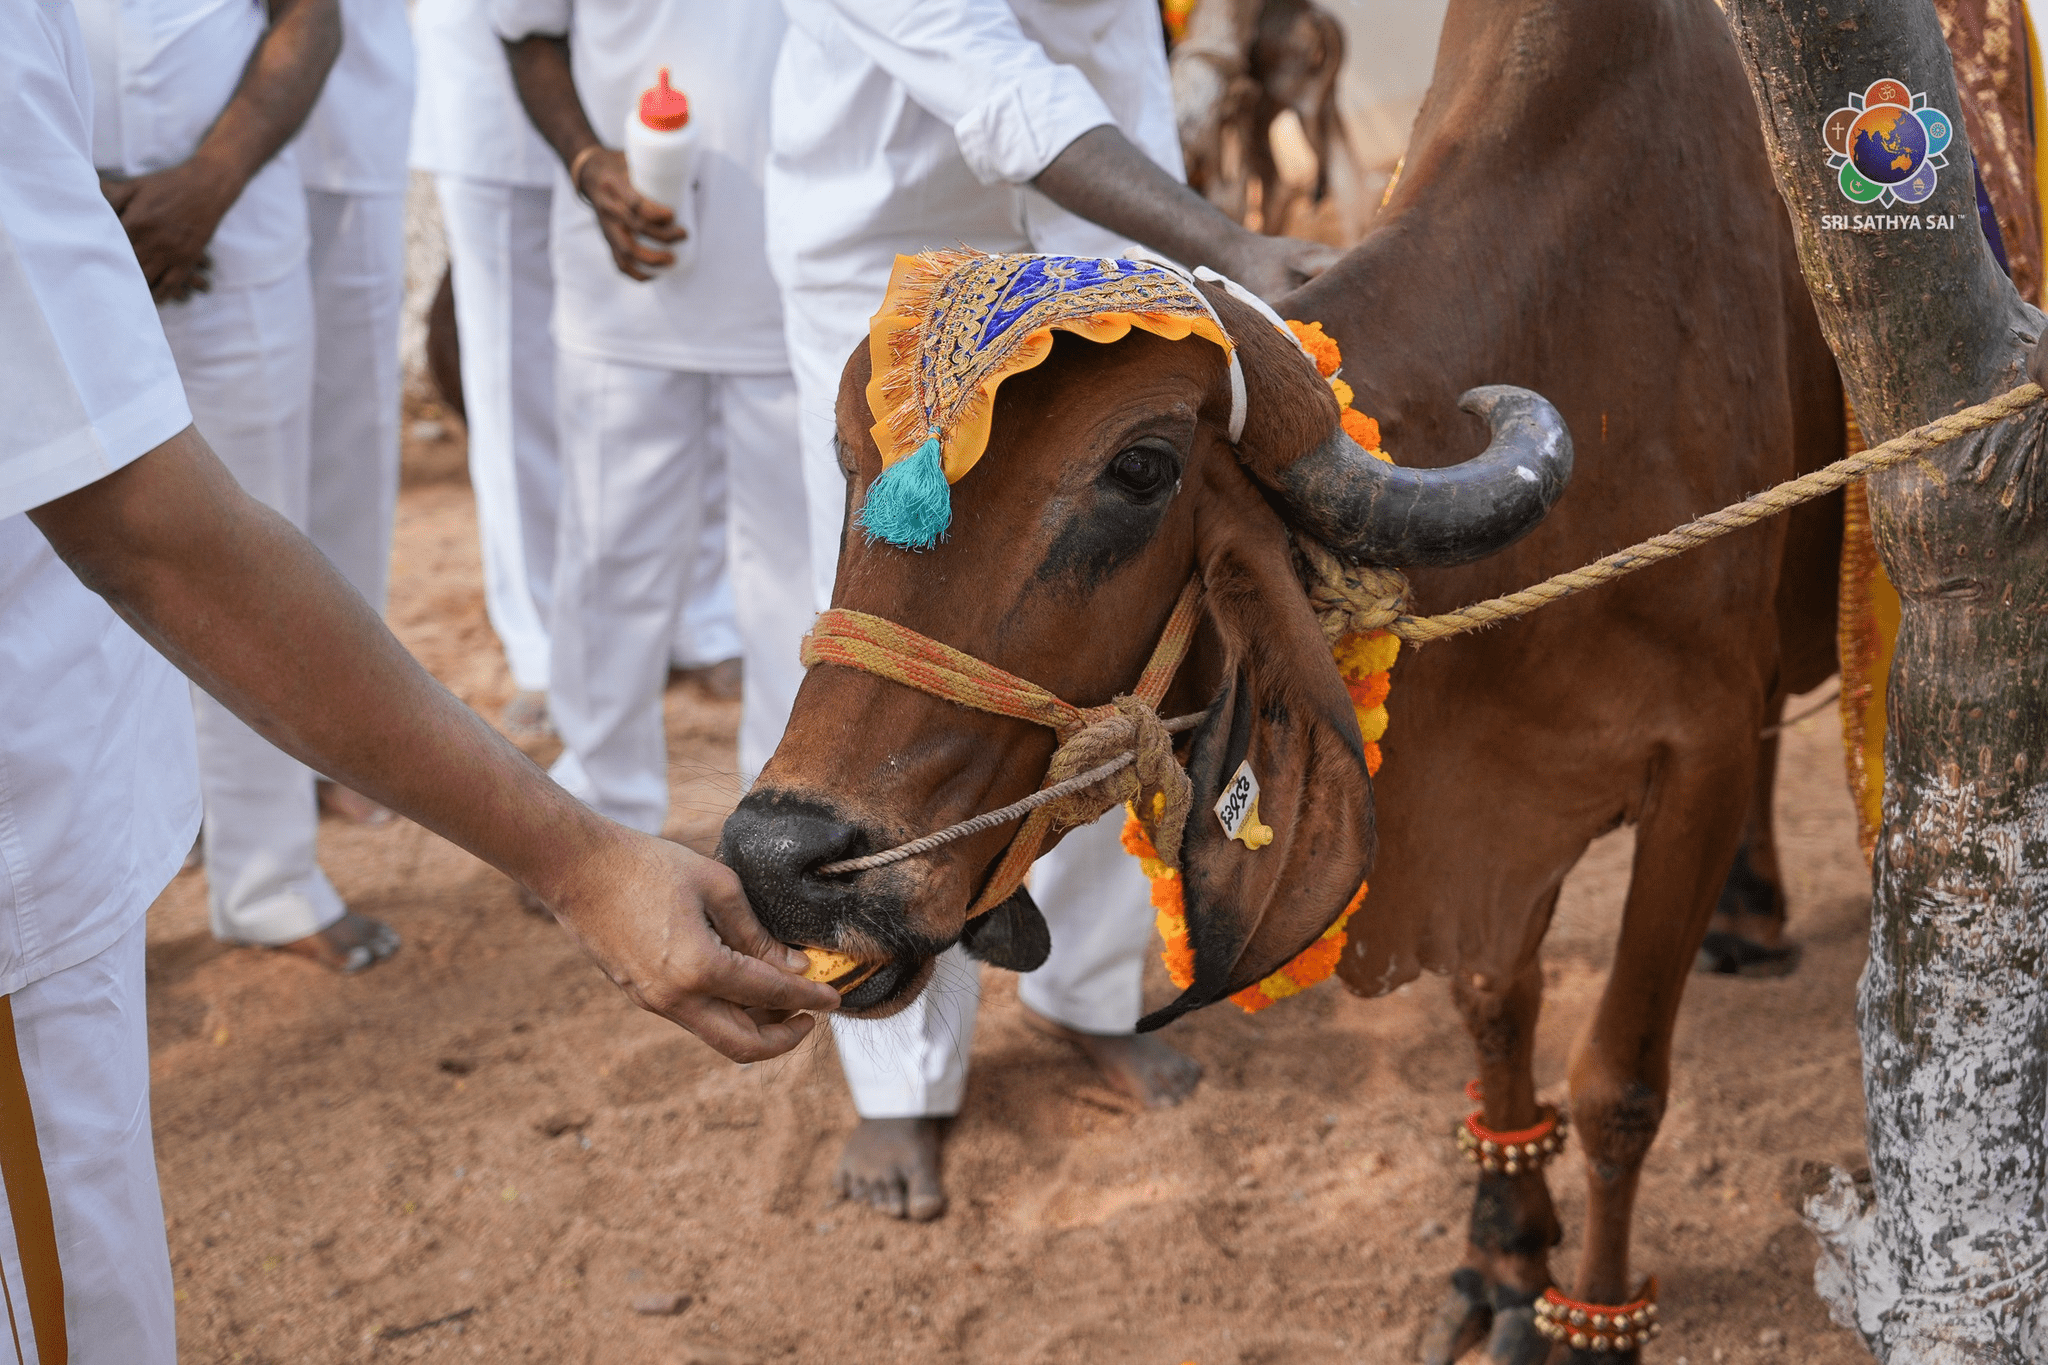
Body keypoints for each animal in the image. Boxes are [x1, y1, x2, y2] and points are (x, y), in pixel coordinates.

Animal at [723, 0, 1843, 1361]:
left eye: (1141, 469)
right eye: (846, 460)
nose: (781, 857)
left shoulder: (1698, 759)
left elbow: (1615, 1082)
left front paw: (1589, 1318)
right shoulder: (1488, 826)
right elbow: (1494, 1011)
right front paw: (1499, 1259)